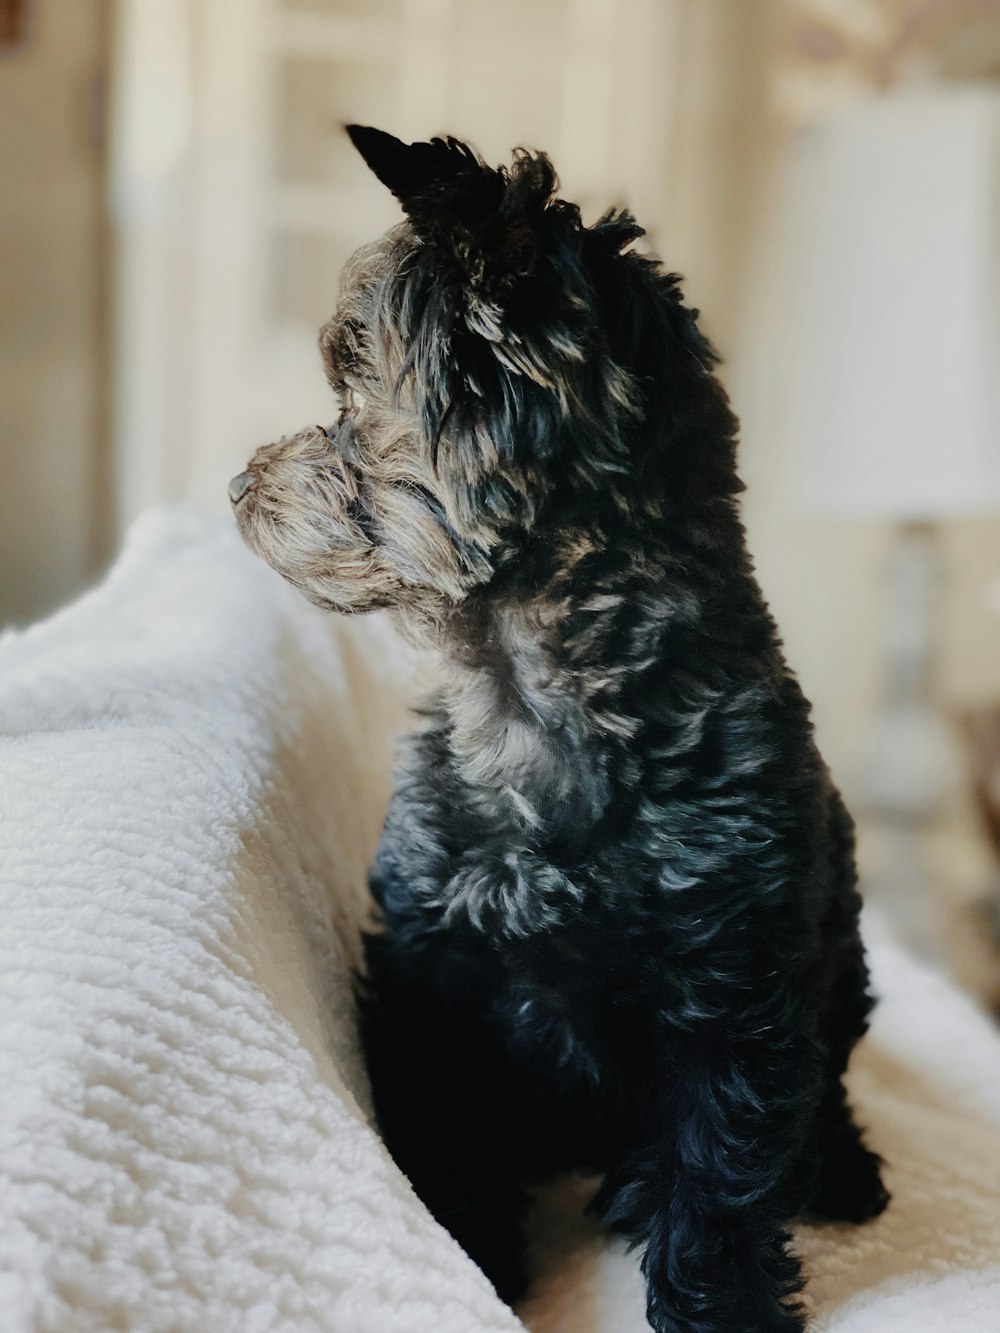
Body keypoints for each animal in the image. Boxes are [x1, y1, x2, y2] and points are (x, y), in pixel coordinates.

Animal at [230, 127, 890, 1333]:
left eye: (350, 386)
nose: (237, 484)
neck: (535, 700)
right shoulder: (434, 972)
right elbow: (447, 1140)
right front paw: (472, 1262)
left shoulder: (736, 990)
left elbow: (719, 1178)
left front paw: (721, 1305)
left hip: (845, 967)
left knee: (825, 1092)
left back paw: (841, 1168)